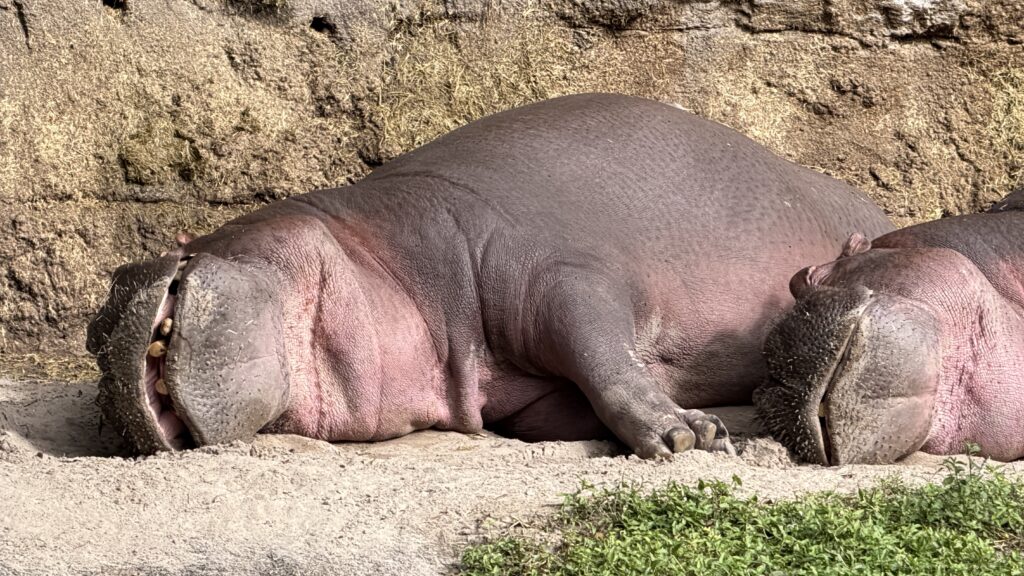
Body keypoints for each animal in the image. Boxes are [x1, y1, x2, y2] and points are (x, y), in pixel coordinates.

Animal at [86, 93, 893, 457]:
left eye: (184, 246)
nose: (100, 320)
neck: (375, 253)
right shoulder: (525, 395)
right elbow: (579, 399)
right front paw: (697, 427)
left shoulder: (563, 277)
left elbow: (607, 360)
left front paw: (687, 437)